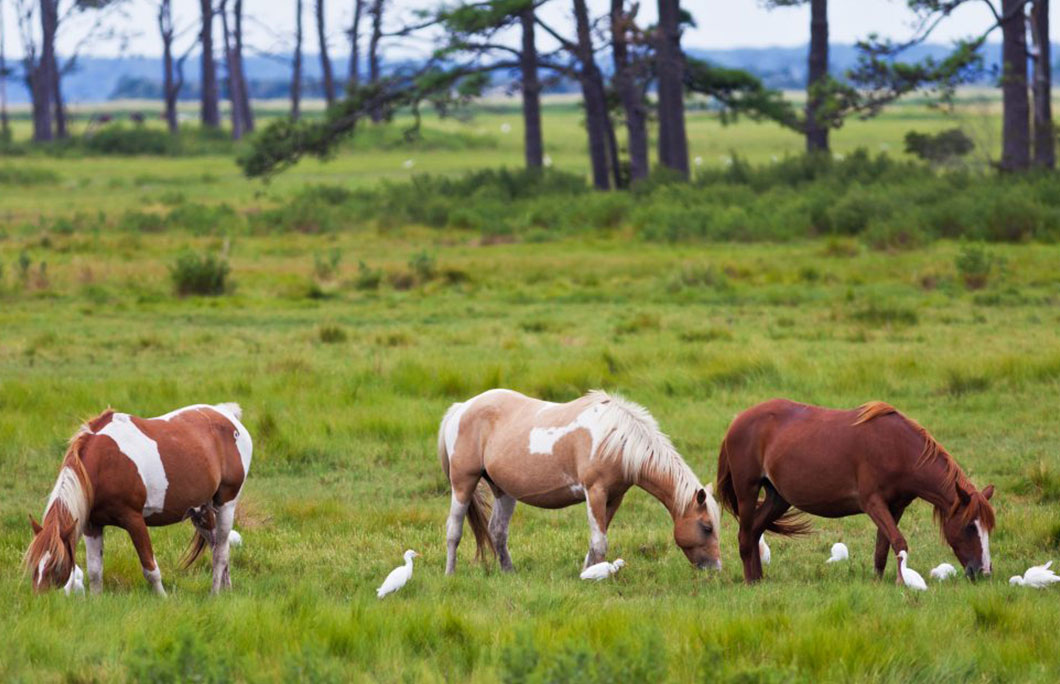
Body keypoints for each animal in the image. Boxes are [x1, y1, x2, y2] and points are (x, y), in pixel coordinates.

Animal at [23, 402, 252, 593]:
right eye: (35, 565)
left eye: (57, 566)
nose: (40, 599)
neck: (104, 464)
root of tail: (227, 414)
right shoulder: (92, 525)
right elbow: (95, 572)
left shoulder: (134, 521)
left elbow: (151, 569)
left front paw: (163, 600)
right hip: (201, 513)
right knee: (219, 548)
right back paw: (226, 591)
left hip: (226, 505)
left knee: (220, 553)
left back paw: (214, 594)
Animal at [436, 390, 720, 572]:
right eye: (707, 527)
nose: (715, 568)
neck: (616, 439)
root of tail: (461, 408)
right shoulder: (595, 492)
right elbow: (599, 541)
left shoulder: (614, 497)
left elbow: (597, 541)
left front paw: (588, 573)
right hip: (463, 483)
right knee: (454, 530)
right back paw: (450, 574)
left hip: (503, 490)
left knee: (497, 531)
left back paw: (509, 573)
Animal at [712, 396, 992, 585]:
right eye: (969, 526)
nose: (984, 571)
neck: (897, 448)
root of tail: (737, 421)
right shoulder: (872, 503)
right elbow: (899, 541)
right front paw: (902, 581)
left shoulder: (895, 507)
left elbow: (882, 548)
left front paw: (879, 582)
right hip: (747, 491)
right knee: (745, 536)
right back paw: (750, 582)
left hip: (778, 498)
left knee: (755, 531)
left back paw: (759, 580)